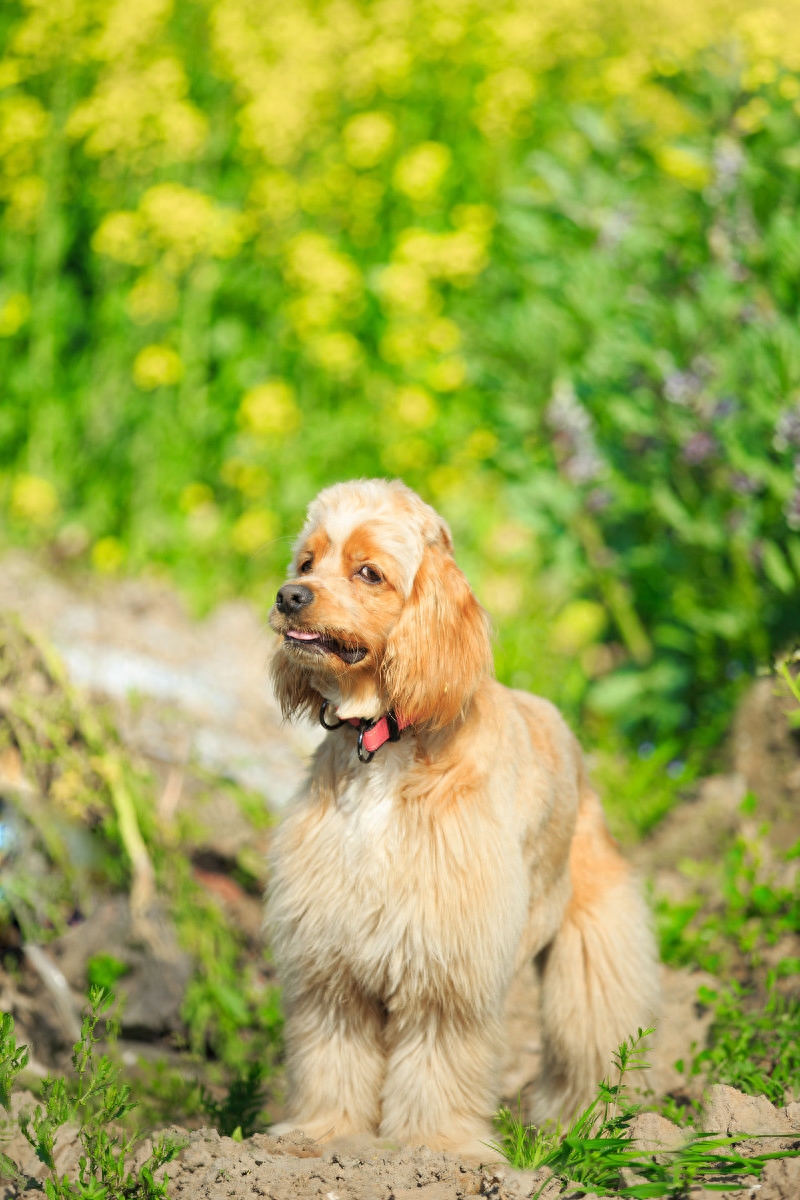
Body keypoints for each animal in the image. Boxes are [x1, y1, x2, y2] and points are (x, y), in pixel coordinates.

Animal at [266, 475, 662, 1152]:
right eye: (307, 562)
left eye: (369, 572)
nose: (289, 596)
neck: (384, 744)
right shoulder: (332, 958)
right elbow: (332, 1056)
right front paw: (326, 1133)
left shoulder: (447, 961)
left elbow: (438, 1062)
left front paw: (432, 1146)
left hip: (590, 949)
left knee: (588, 1044)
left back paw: (580, 1127)